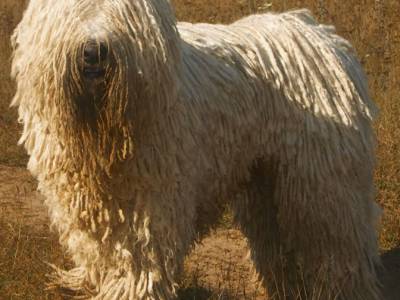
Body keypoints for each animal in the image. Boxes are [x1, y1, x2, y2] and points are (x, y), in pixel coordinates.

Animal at [11, 0, 382, 300]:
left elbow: (141, 257)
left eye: (126, 15)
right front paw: (88, 280)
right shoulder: (84, 201)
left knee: (337, 239)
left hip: (322, 179)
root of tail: (321, 36)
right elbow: (95, 248)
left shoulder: (151, 200)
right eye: (70, 12)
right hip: (264, 177)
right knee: (273, 237)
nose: (94, 51)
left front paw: (132, 290)